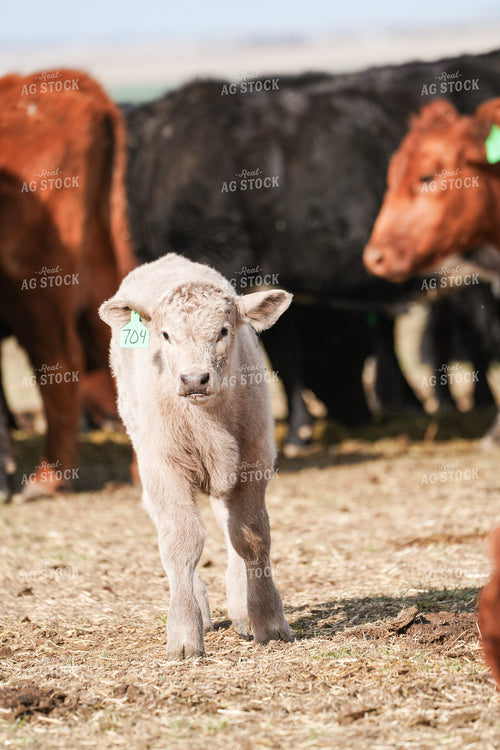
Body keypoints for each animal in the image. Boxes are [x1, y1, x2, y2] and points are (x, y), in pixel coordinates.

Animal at [99, 253, 293, 658]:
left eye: (223, 331)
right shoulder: (163, 466)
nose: (193, 379)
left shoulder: (255, 460)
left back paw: (239, 606)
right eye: (165, 335)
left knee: (229, 524)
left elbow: (252, 537)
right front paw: (185, 634)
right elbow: (181, 541)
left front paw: (267, 620)